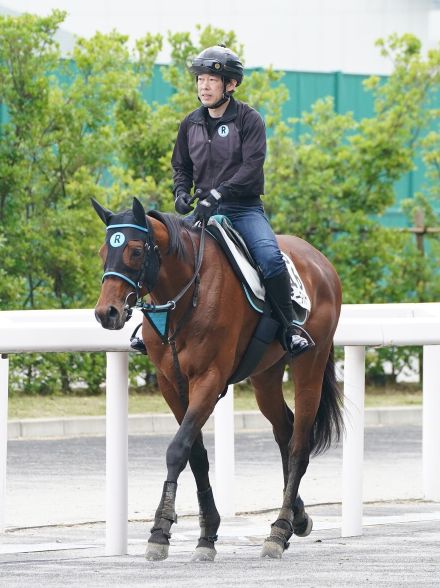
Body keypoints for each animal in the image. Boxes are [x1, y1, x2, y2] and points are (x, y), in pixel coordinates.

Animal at [93, 198, 344, 560]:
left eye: (136, 251)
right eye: (103, 251)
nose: (106, 312)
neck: (186, 295)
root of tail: (320, 261)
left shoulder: (209, 380)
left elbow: (178, 448)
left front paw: (160, 530)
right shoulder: (172, 384)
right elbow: (195, 454)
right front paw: (206, 533)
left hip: (310, 364)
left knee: (299, 444)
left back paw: (278, 531)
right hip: (266, 377)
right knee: (284, 431)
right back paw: (296, 517)